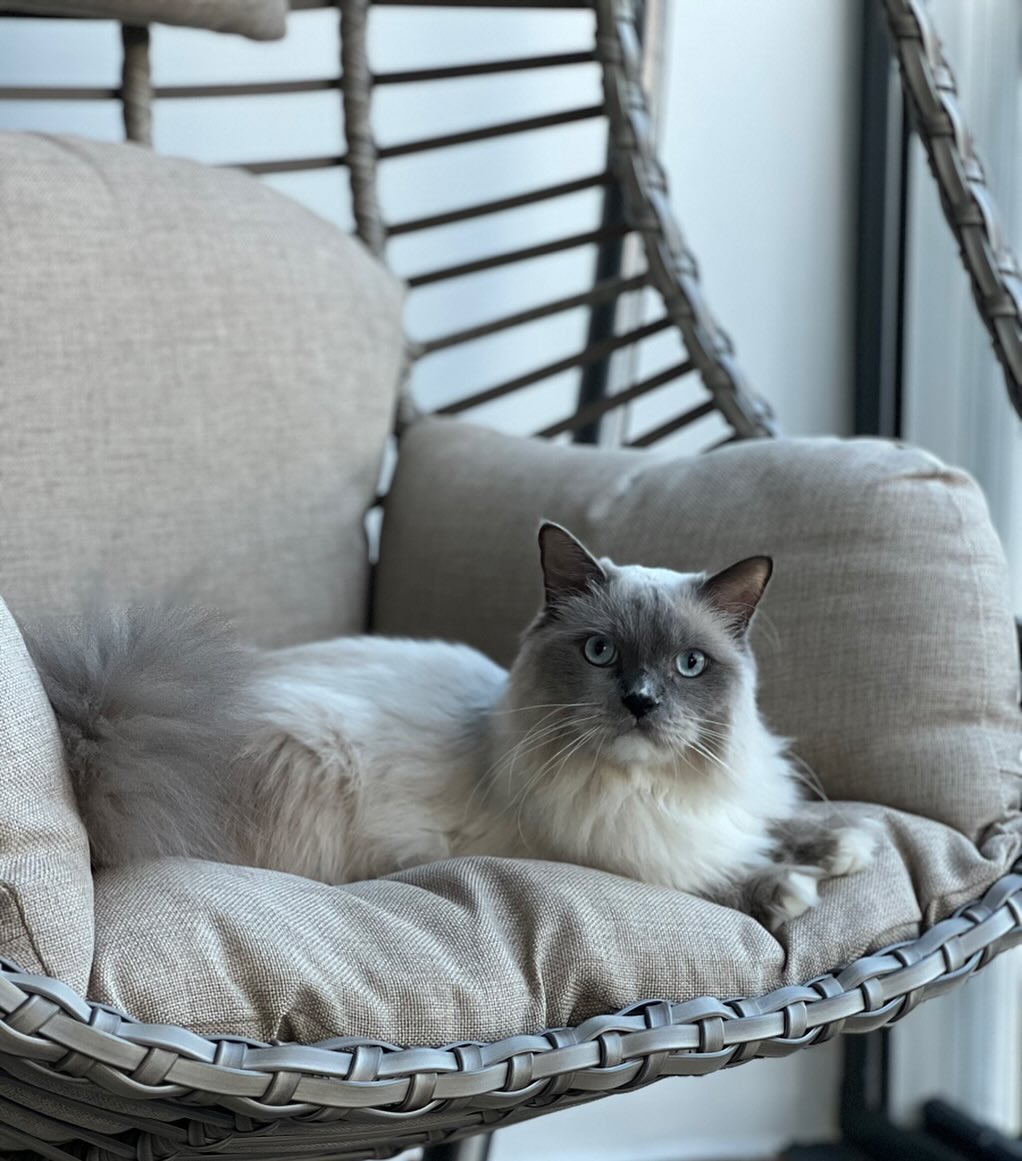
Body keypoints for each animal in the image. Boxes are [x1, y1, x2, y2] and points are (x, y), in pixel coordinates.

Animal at [23, 522, 873, 928]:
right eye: (600, 651)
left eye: (689, 665)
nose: (640, 701)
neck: (653, 789)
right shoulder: (622, 855)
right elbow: (717, 872)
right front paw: (788, 887)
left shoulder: (730, 803)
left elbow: (777, 821)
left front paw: (844, 844)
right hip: (319, 754)